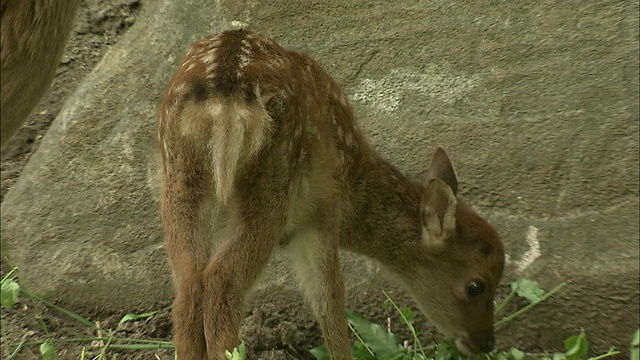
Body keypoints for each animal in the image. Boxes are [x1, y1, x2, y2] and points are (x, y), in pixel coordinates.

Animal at [158, 30, 502, 360]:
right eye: (476, 286)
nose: (486, 342)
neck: (354, 181)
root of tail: (224, 90)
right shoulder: (323, 212)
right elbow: (329, 297)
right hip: (272, 182)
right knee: (222, 282)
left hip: (180, 178)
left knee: (189, 285)